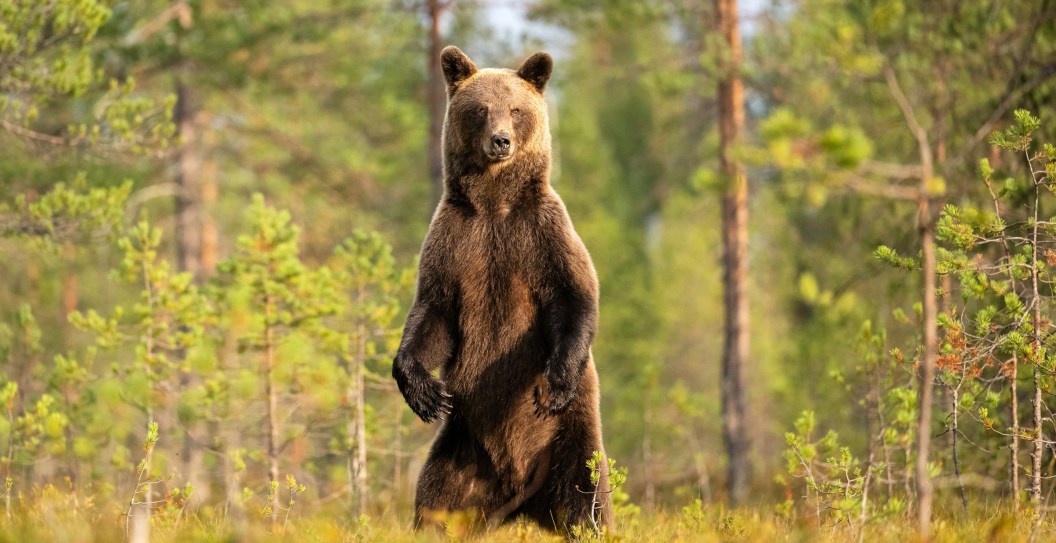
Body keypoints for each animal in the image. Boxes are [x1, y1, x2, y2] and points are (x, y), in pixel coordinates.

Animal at [392, 46, 613, 534]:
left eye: (515, 109)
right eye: (479, 110)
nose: (501, 141)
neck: (494, 204)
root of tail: (520, 497)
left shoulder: (540, 234)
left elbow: (574, 296)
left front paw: (554, 384)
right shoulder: (455, 242)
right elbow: (433, 315)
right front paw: (424, 392)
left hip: (571, 437)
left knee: (584, 496)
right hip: (461, 449)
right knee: (435, 501)